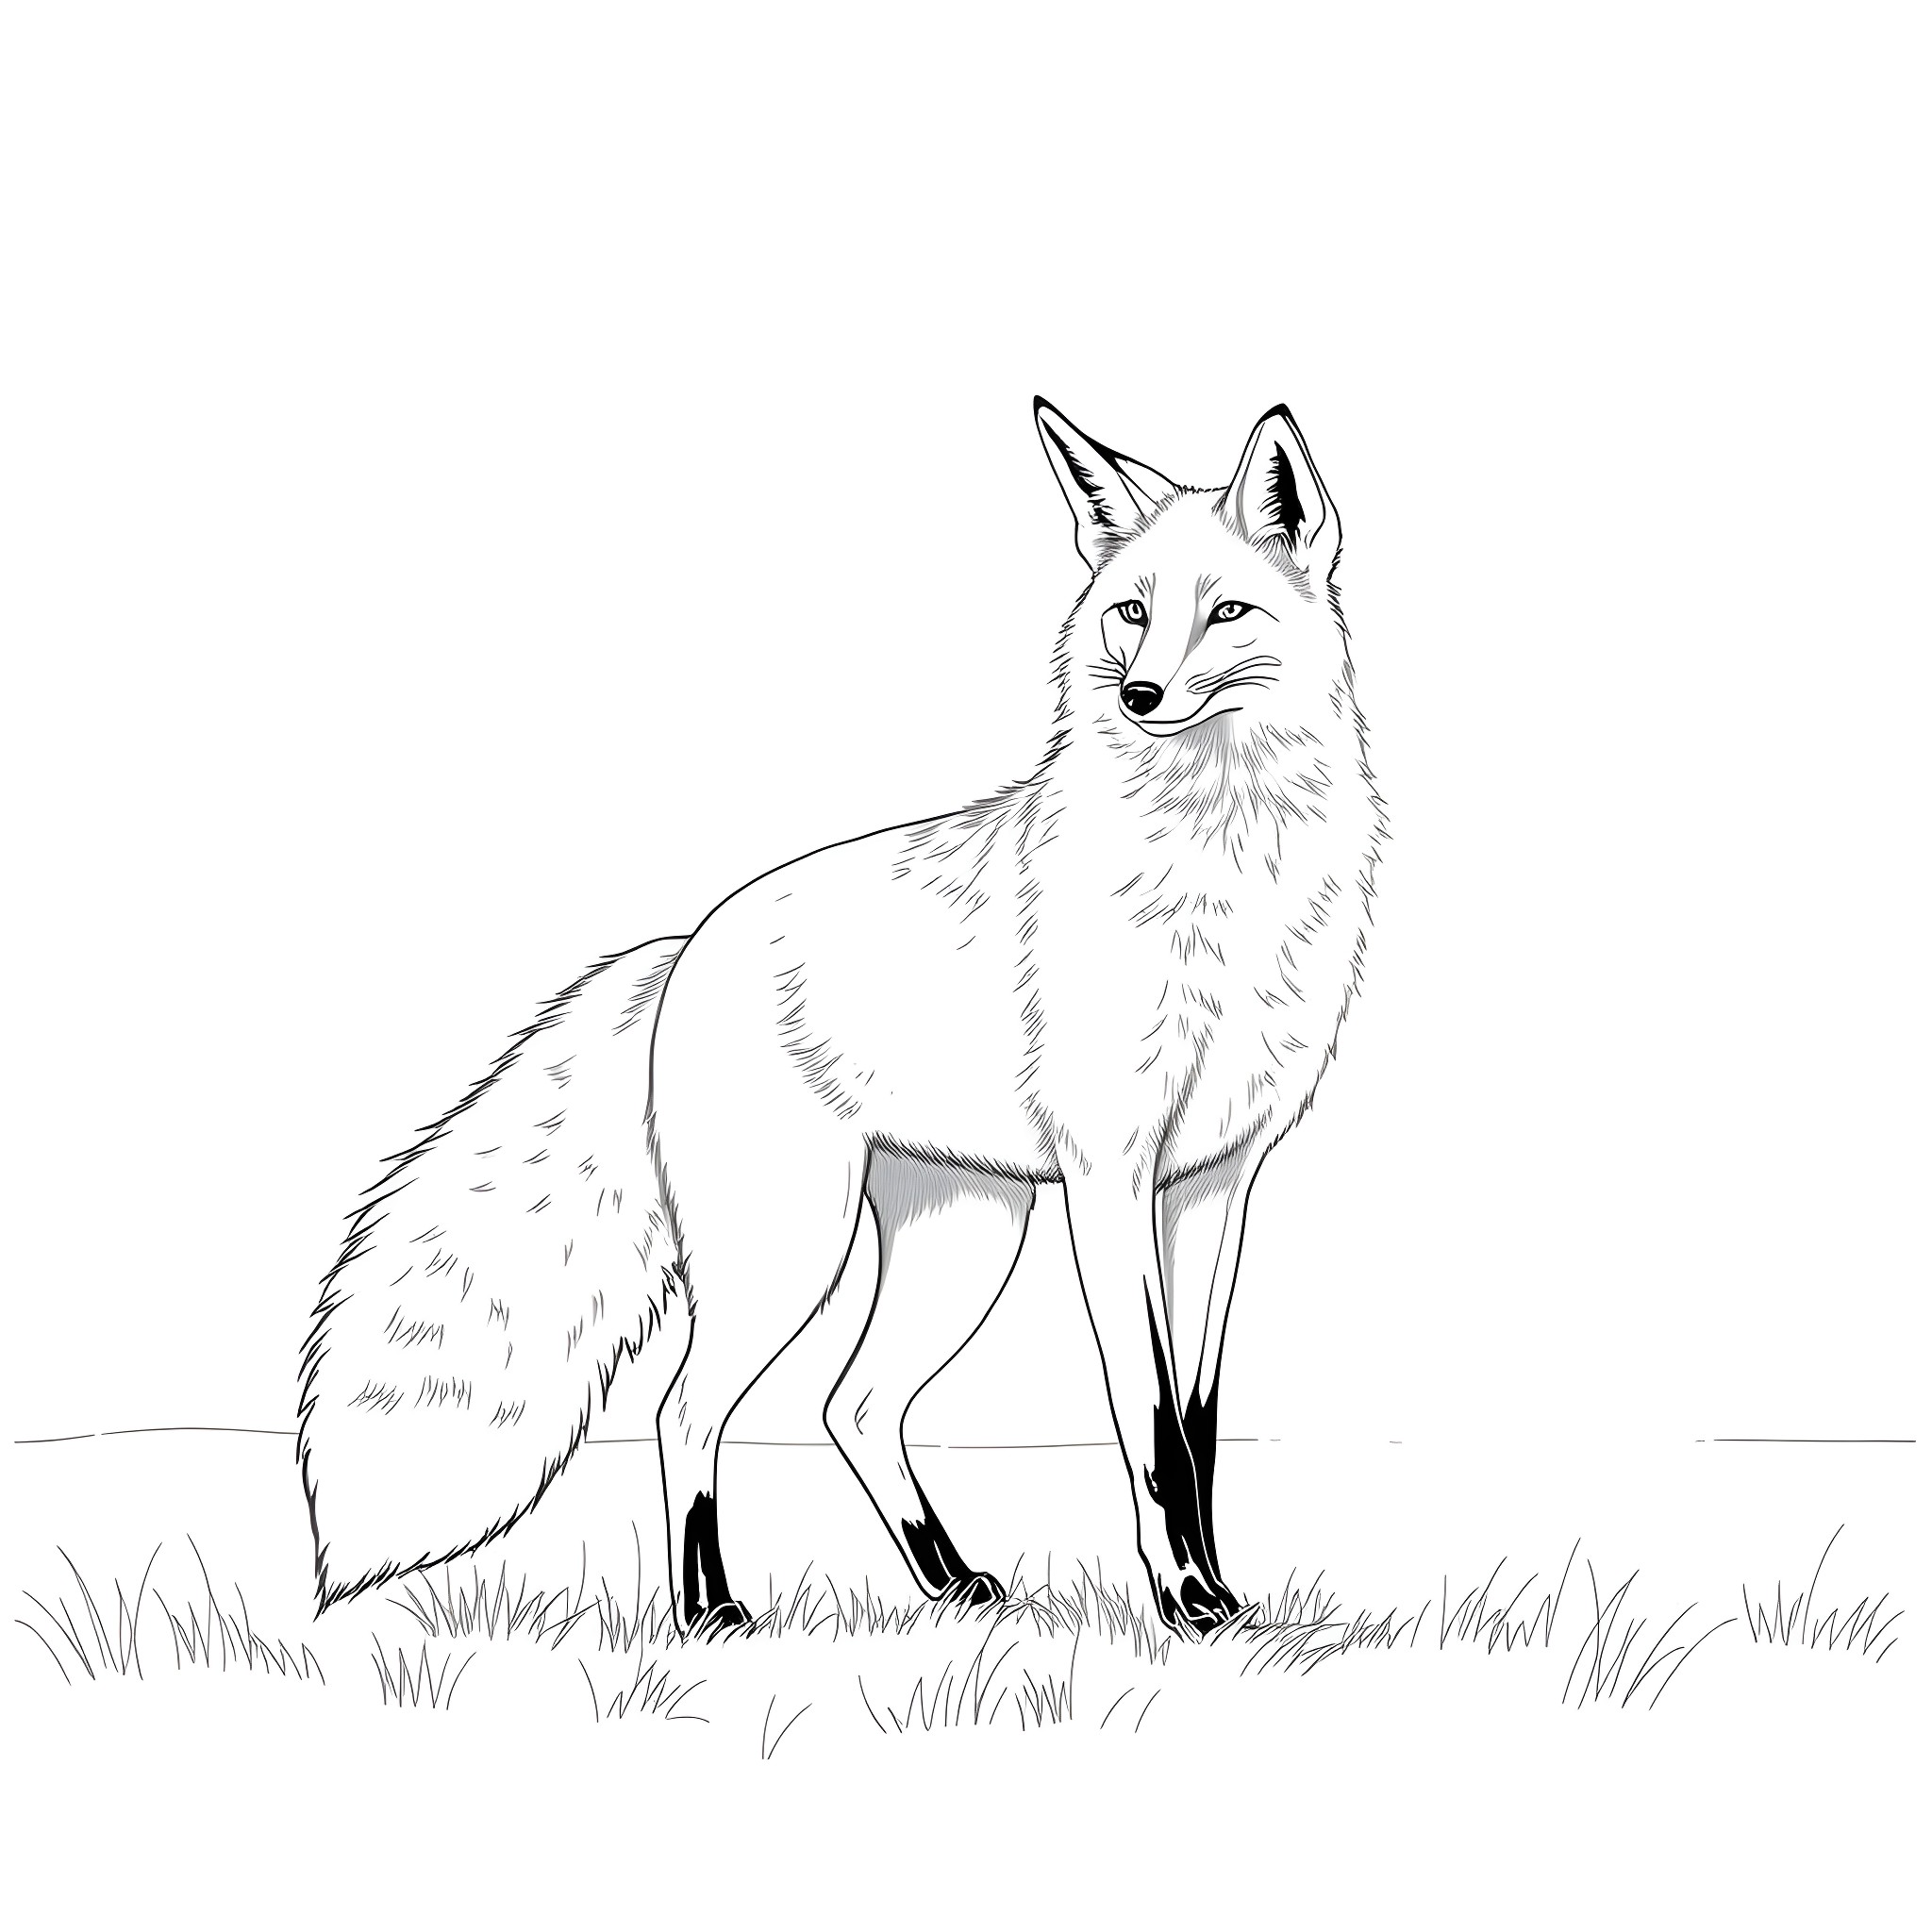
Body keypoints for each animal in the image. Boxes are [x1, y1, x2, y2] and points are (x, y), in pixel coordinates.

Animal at [298, 396, 1385, 1636]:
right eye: (1131, 612)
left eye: (1226, 611)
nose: (1138, 698)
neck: (1223, 869)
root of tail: (682, 947)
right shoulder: (1110, 1176)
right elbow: (1150, 1427)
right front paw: (1182, 1600)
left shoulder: (1214, 1183)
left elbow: (1195, 1425)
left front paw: (1217, 1596)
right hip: (792, 1246)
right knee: (686, 1408)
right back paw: (709, 1609)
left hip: (965, 1235)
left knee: (852, 1402)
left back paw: (947, 1577)